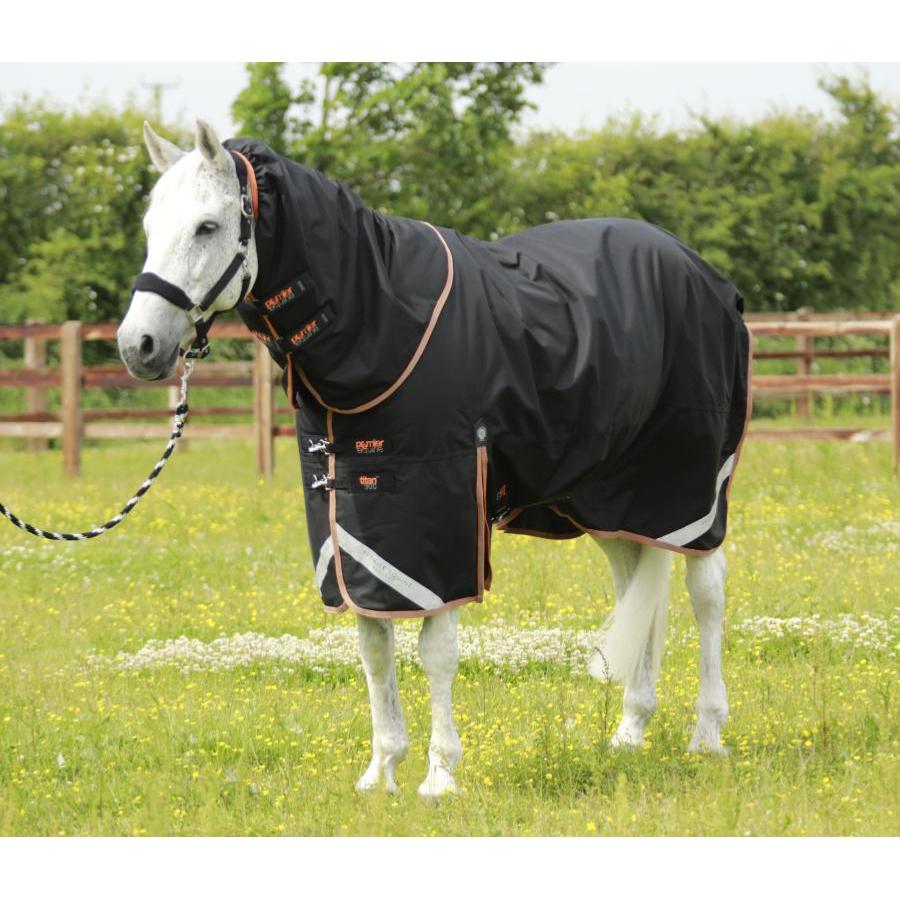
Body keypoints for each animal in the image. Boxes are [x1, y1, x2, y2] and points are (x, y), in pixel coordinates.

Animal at [118, 119, 748, 798]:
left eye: (207, 226)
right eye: (150, 226)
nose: (137, 346)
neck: (382, 324)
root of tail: (700, 271)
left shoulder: (443, 523)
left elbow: (436, 652)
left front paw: (440, 774)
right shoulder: (354, 529)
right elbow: (374, 648)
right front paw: (381, 770)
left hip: (689, 487)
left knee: (706, 590)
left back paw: (707, 733)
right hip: (611, 502)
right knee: (637, 585)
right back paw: (630, 731)